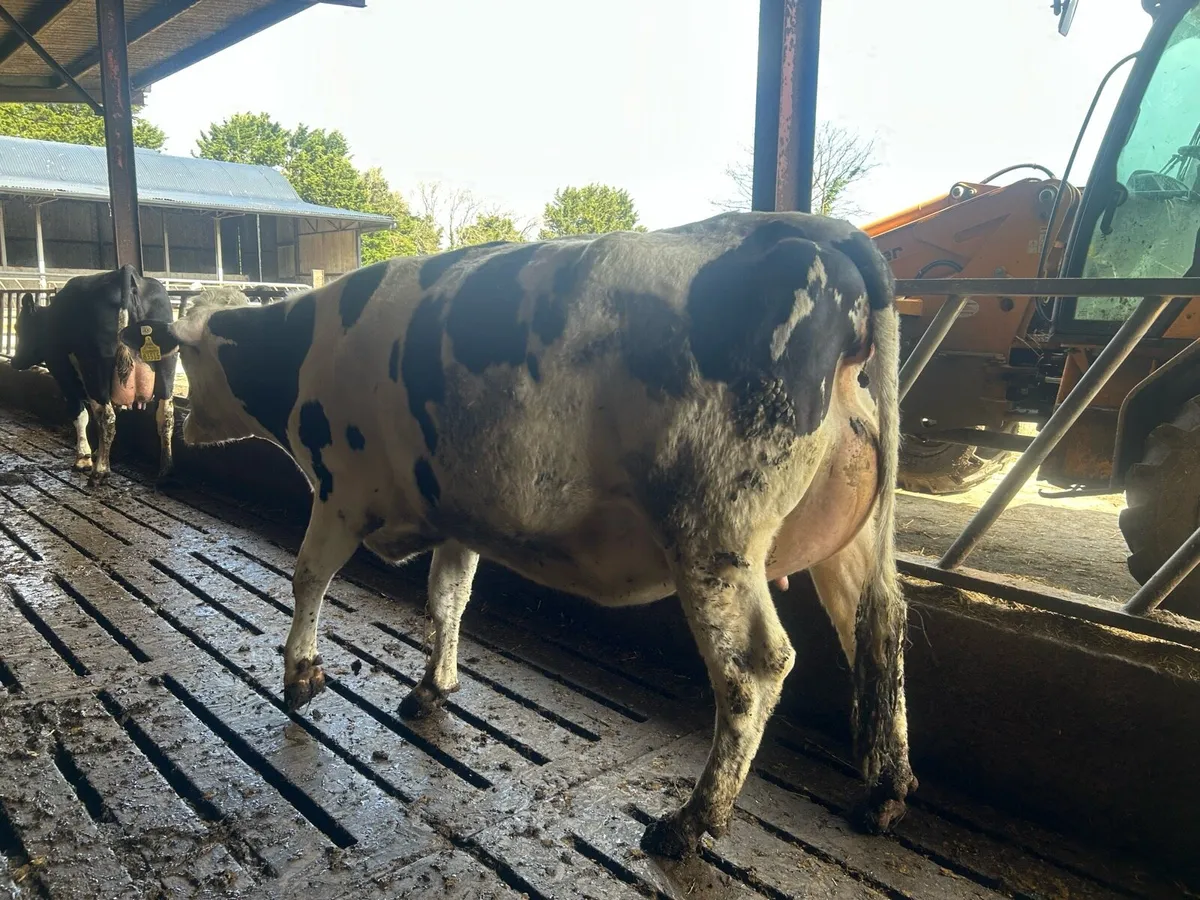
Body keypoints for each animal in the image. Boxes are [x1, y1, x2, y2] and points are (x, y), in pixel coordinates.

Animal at [12, 265, 178, 487]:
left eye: (19, 327)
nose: (14, 361)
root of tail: (126, 273)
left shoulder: (62, 371)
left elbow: (80, 414)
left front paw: (84, 459)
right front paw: (99, 453)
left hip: (95, 367)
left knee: (107, 417)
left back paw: (99, 472)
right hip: (167, 365)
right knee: (165, 414)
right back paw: (166, 470)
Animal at [122, 210, 915, 858]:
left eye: (191, 357)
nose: (183, 424)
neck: (311, 345)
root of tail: (822, 233)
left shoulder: (338, 493)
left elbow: (308, 577)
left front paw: (301, 675)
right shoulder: (456, 509)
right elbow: (447, 598)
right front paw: (432, 687)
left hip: (714, 532)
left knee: (754, 668)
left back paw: (691, 824)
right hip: (849, 539)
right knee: (877, 624)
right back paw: (886, 791)